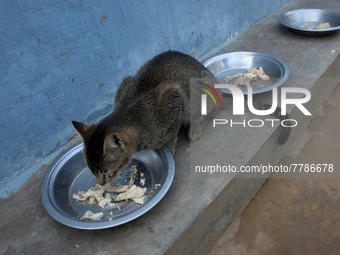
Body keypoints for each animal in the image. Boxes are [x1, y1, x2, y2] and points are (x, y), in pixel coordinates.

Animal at [73, 50, 219, 185]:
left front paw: (171, 149)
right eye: (92, 171)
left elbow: (171, 137)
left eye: (107, 173)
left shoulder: (173, 94)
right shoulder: (126, 82)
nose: (100, 183)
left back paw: (196, 128)